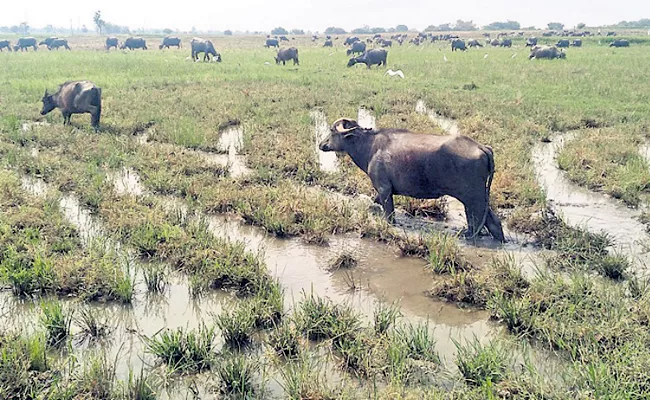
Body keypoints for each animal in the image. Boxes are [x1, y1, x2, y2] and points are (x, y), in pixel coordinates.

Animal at [316, 115, 504, 241]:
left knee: (477, 221)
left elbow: (389, 214)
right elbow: (374, 201)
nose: (321, 144)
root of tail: (481, 147)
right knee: (492, 222)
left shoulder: (384, 189)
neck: (370, 146)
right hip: (477, 198)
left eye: (332, 131)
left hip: (473, 197)